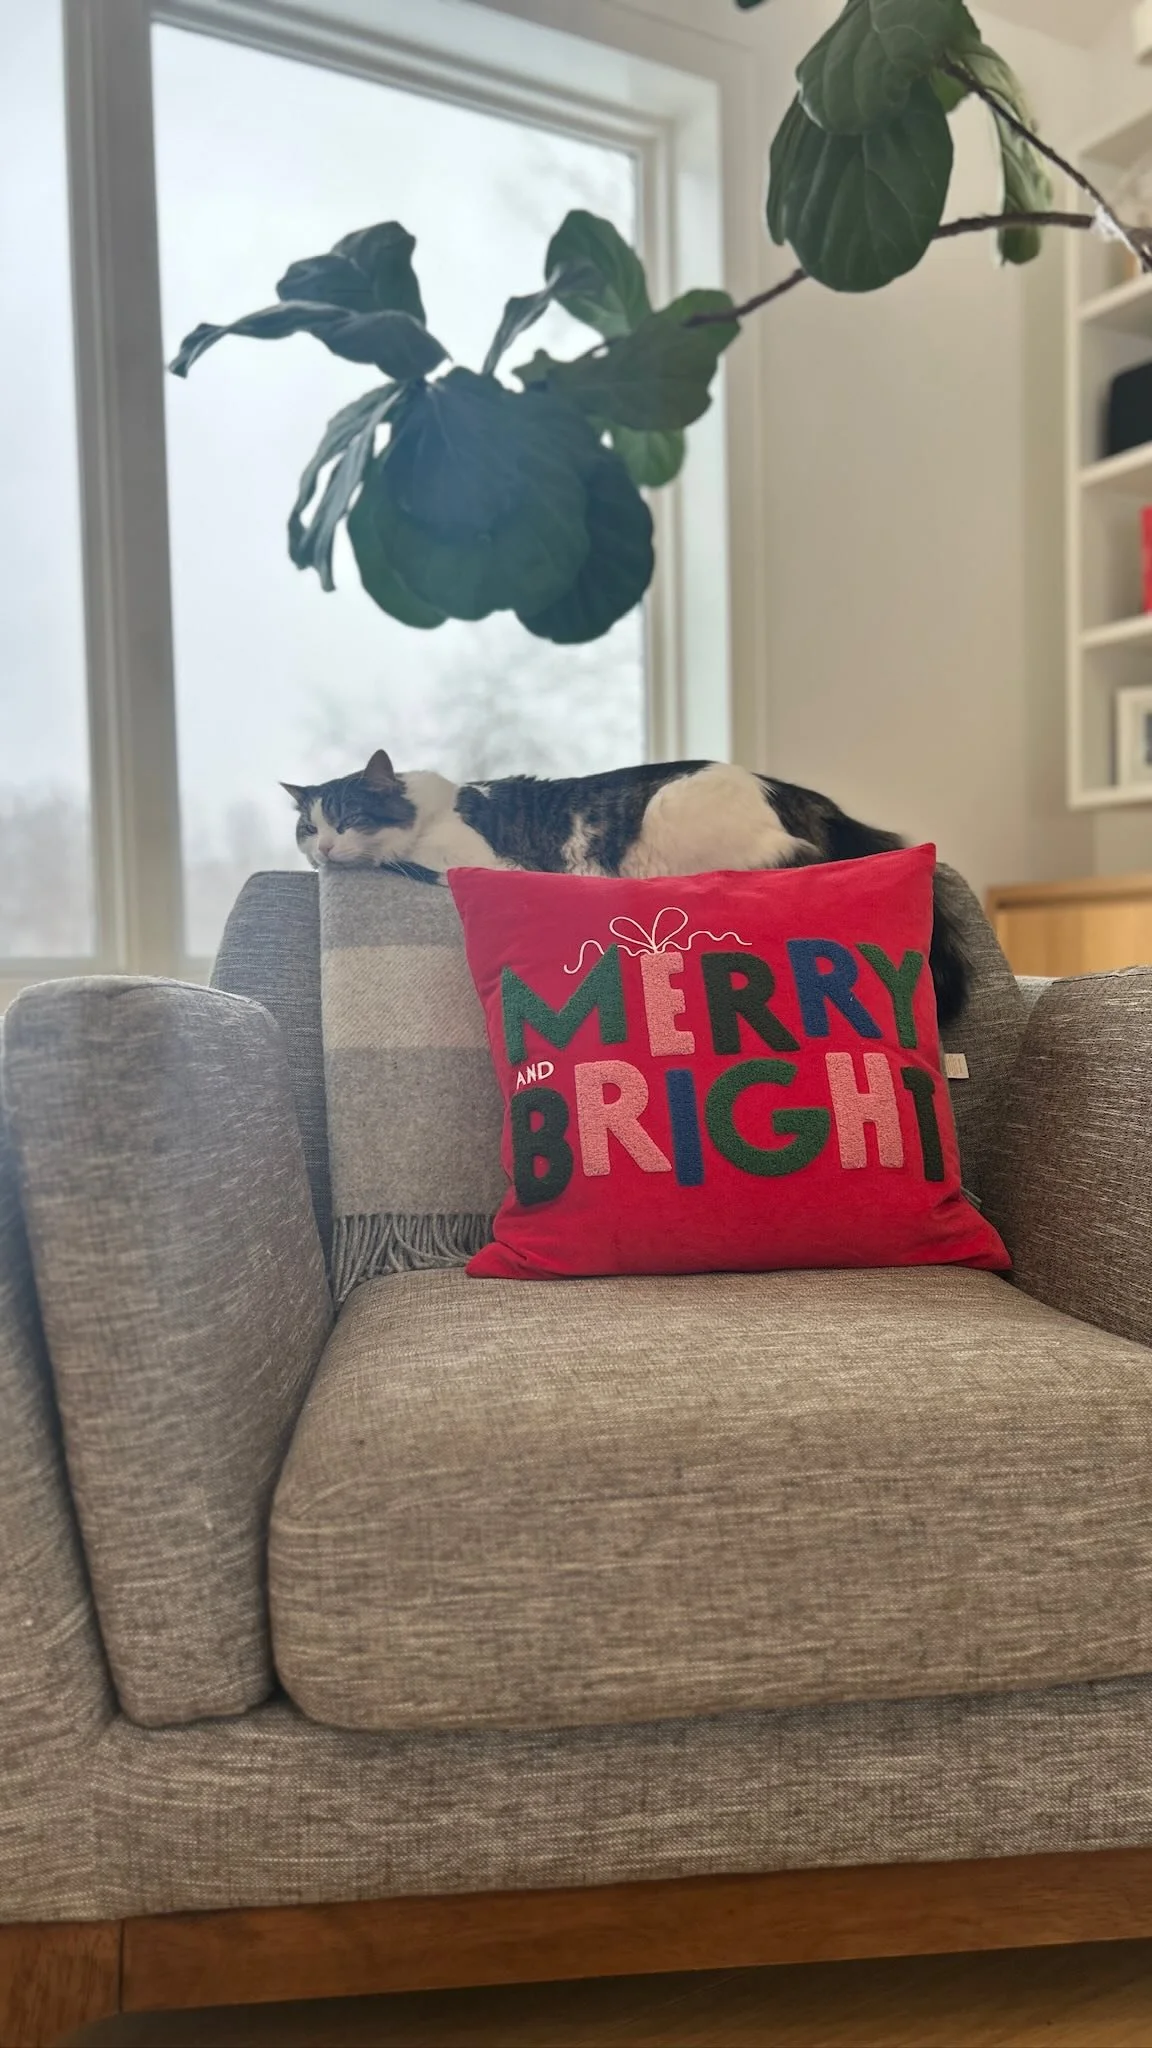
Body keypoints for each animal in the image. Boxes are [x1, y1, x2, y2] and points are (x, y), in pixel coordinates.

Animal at [282, 751, 970, 1024]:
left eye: (345, 818)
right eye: (306, 826)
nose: (323, 850)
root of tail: (786, 788)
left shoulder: (473, 859)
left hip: (678, 817)